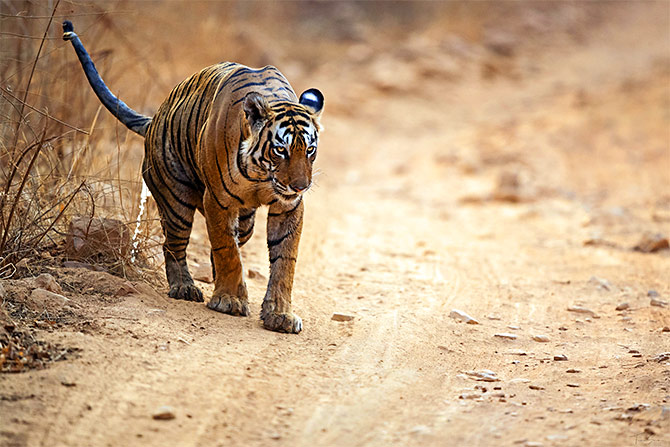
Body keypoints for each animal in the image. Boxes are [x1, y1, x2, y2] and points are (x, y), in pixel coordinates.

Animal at [64, 21, 324, 336]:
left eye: (309, 150)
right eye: (280, 150)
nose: (301, 186)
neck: (261, 177)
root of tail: (153, 120)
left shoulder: (288, 207)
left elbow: (285, 260)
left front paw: (280, 314)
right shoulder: (218, 201)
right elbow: (226, 249)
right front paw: (229, 301)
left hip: (244, 221)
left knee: (232, 240)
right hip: (176, 201)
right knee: (173, 245)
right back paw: (183, 287)